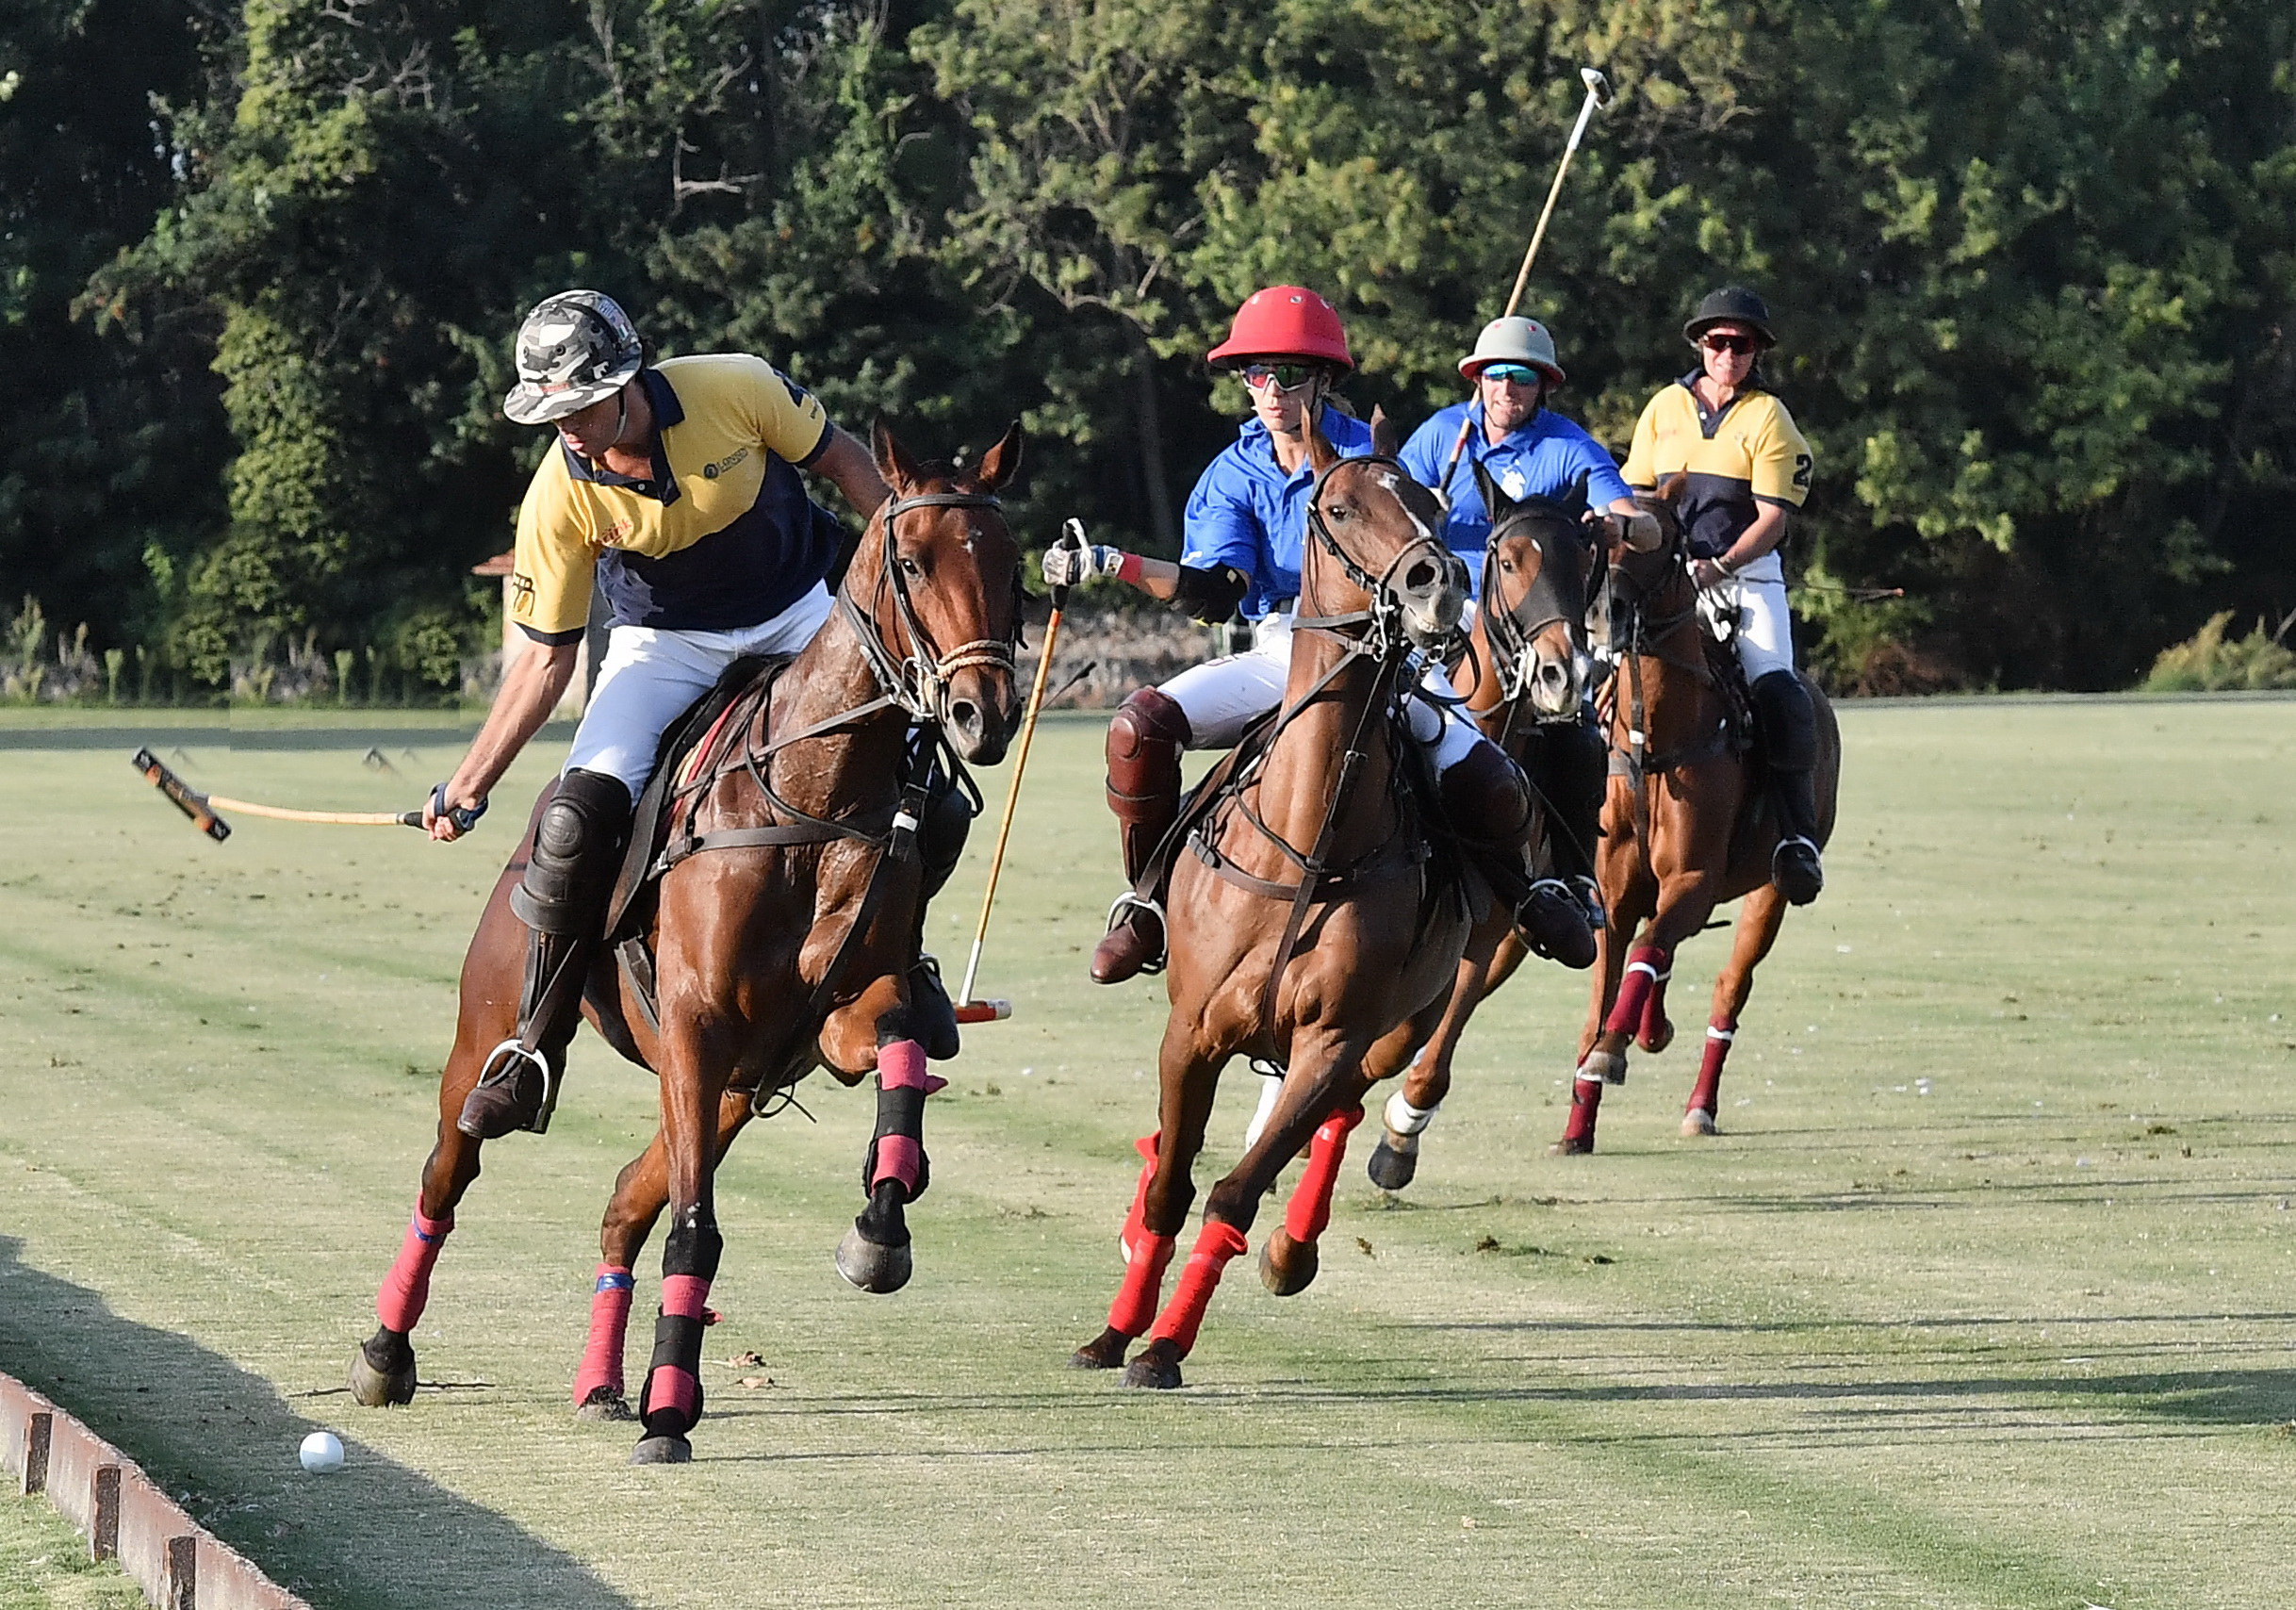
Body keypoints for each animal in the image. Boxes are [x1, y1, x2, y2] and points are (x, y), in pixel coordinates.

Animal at [346, 424, 1024, 1460]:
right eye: (911, 561)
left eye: (1014, 562)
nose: (984, 715)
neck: (812, 794)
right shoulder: (698, 1029)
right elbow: (695, 1230)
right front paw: (669, 1414)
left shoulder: (834, 1017)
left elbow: (903, 1046)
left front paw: (880, 1227)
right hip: (506, 1035)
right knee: (447, 1174)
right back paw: (387, 1351)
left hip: (732, 1088)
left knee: (625, 1201)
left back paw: (599, 1380)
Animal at [1060, 434, 1487, 1387]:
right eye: (1341, 509)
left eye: (1433, 504)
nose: (1437, 582)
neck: (1308, 839)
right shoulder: (1190, 1032)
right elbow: (1173, 1187)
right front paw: (1113, 1334)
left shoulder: (1332, 1041)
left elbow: (1233, 1191)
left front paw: (1165, 1347)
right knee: (1141, 726)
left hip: (1401, 1026)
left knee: (1346, 1113)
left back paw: (1294, 1253)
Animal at [1359, 459, 1598, 1185]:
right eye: (1511, 560)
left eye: (1586, 561)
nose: (1562, 675)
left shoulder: (1489, 932)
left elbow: (1430, 1042)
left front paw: (1398, 1137)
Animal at [1551, 477, 1836, 1158]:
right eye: (1598, 537)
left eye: (1660, 539)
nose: (1607, 616)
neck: (1652, 740)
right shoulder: (1617, 892)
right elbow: (1605, 989)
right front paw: (1578, 1124)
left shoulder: (1695, 878)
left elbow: (1645, 954)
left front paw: (1611, 1055)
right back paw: (1650, 1032)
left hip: (1768, 892)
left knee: (1728, 987)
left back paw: (1698, 1106)